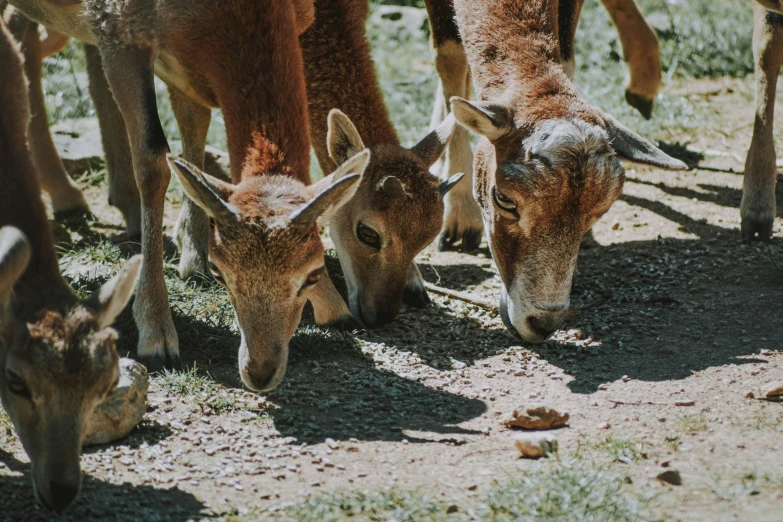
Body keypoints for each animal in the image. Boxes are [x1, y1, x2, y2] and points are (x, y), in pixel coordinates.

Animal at [422, 0, 688, 344]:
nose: (542, 323)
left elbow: (565, 57)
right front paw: (460, 219)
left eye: (600, 211)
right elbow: (450, 58)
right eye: (504, 199)